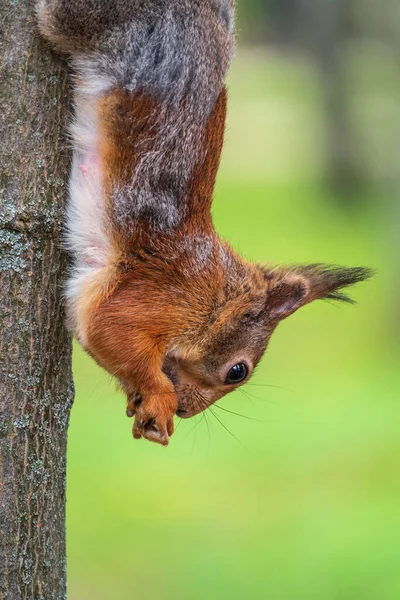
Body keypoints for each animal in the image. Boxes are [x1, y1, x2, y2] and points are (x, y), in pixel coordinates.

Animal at [37, 0, 372, 446]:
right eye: (237, 371)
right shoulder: (152, 296)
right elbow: (111, 330)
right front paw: (159, 399)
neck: (214, 296)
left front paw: (139, 402)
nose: (186, 409)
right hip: (91, 24)